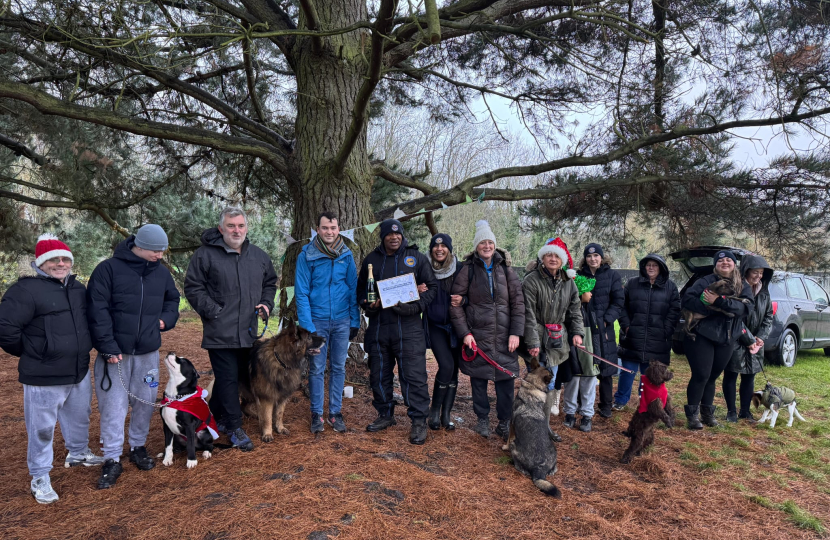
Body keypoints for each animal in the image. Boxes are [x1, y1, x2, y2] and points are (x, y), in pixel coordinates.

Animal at [504, 356, 564, 500]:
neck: (532, 387)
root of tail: (540, 468)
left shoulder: (512, 424)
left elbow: (508, 438)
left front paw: (504, 447)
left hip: (515, 447)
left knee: (521, 467)